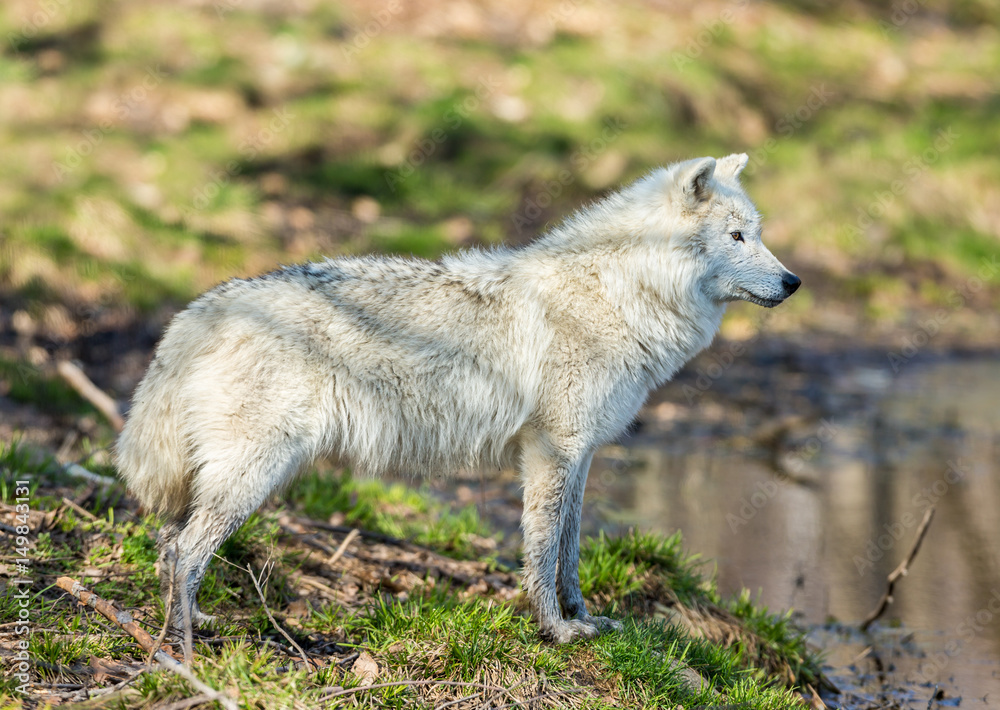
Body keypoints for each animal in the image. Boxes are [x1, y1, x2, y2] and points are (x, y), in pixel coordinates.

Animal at [115, 153, 799, 643]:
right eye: (738, 236)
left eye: (756, 234)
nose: (794, 282)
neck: (621, 291)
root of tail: (201, 310)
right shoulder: (551, 451)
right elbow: (541, 550)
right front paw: (554, 630)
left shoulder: (579, 455)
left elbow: (570, 550)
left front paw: (584, 618)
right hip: (253, 474)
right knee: (183, 550)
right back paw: (184, 649)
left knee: (168, 546)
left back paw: (190, 627)